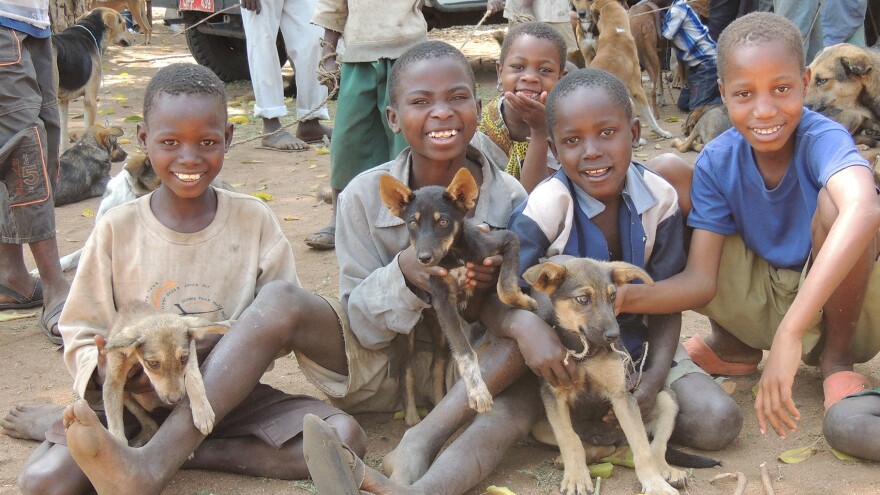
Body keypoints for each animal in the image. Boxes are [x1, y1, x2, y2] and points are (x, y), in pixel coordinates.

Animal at [52, 6, 132, 150]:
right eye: (123, 25)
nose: (133, 39)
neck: (91, 30)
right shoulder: (90, 101)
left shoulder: (63, 101)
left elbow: (63, 134)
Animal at [102, 300, 232, 448]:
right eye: (153, 364)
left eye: (183, 359)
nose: (175, 399)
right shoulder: (113, 380)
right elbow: (114, 421)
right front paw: (119, 447)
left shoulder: (191, 348)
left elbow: (193, 377)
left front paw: (202, 411)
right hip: (127, 396)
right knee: (149, 423)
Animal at [378, 170, 536, 418]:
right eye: (412, 223)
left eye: (443, 221)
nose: (423, 258)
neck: (454, 255)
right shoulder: (442, 299)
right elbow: (465, 352)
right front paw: (478, 392)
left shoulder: (506, 240)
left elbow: (505, 288)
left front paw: (526, 302)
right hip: (410, 334)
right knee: (406, 370)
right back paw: (412, 415)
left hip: (440, 332)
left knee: (436, 366)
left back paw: (438, 402)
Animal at [524, 258, 688, 495]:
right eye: (583, 299)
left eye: (612, 297)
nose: (614, 336)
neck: (585, 351)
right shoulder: (553, 395)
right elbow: (569, 438)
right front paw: (576, 477)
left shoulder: (622, 395)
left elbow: (642, 447)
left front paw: (655, 484)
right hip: (539, 426)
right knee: (594, 445)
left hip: (667, 399)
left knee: (656, 446)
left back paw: (668, 472)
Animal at [588, 0, 672, 140]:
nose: (592, 32)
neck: (615, 32)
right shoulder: (637, 89)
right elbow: (650, 117)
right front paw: (662, 132)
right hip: (630, 101)